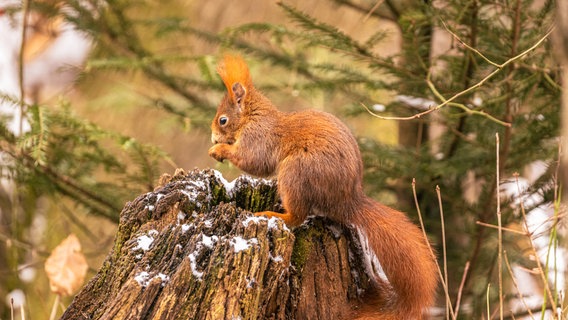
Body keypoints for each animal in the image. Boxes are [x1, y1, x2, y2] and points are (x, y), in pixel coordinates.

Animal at [209, 53, 440, 318]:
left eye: (223, 120)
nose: (213, 137)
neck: (252, 116)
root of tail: (347, 201)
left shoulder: (258, 138)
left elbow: (253, 161)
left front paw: (219, 150)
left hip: (295, 173)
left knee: (298, 216)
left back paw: (274, 214)